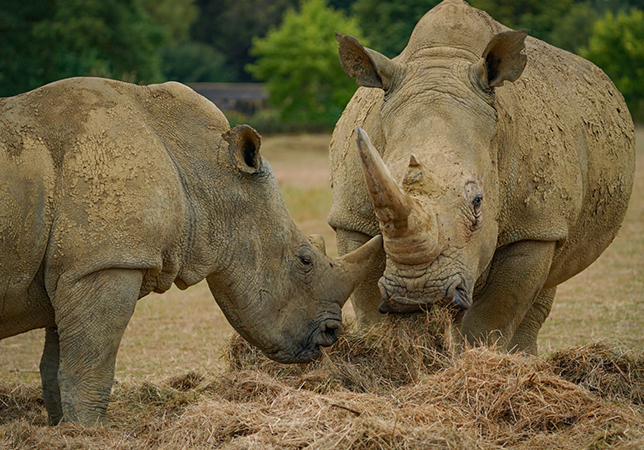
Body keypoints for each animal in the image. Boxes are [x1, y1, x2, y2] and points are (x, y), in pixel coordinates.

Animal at [0, 77, 382, 425]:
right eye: (304, 259)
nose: (332, 333)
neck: (203, 172)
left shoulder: (74, 268)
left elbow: (57, 365)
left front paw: (63, 428)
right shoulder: (107, 263)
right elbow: (89, 364)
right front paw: (93, 430)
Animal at [329, 0, 635, 354]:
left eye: (478, 202)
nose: (419, 294)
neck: (444, 61)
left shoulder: (534, 226)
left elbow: (492, 317)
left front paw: (480, 358)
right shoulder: (353, 218)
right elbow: (369, 306)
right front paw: (395, 351)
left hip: (552, 217)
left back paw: (524, 359)